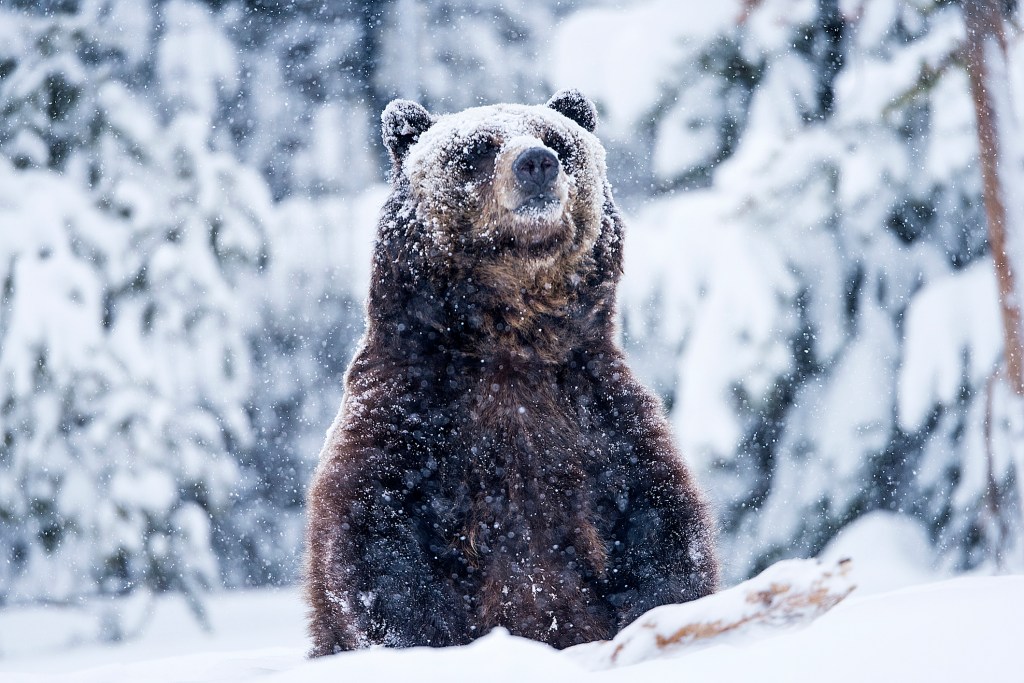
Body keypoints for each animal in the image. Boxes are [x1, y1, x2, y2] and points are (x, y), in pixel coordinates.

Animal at [303, 88, 720, 655]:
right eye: (478, 147)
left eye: (557, 140)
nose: (536, 163)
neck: (512, 343)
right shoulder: (412, 414)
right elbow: (374, 544)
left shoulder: (598, 418)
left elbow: (662, 529)